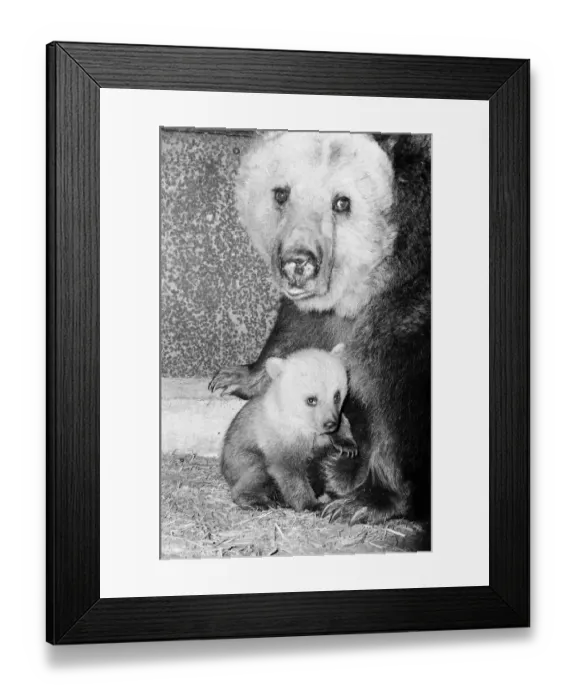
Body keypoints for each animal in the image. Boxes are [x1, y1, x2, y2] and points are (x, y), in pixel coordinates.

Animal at [220, 344, 358, 512]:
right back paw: (259, 501)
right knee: (256, 471)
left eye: (336, 395)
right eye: (311, 399)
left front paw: (347, 446)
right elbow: (289, 470)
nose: (329, 423)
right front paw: (311, 503)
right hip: (240, 457)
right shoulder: (283, 436)